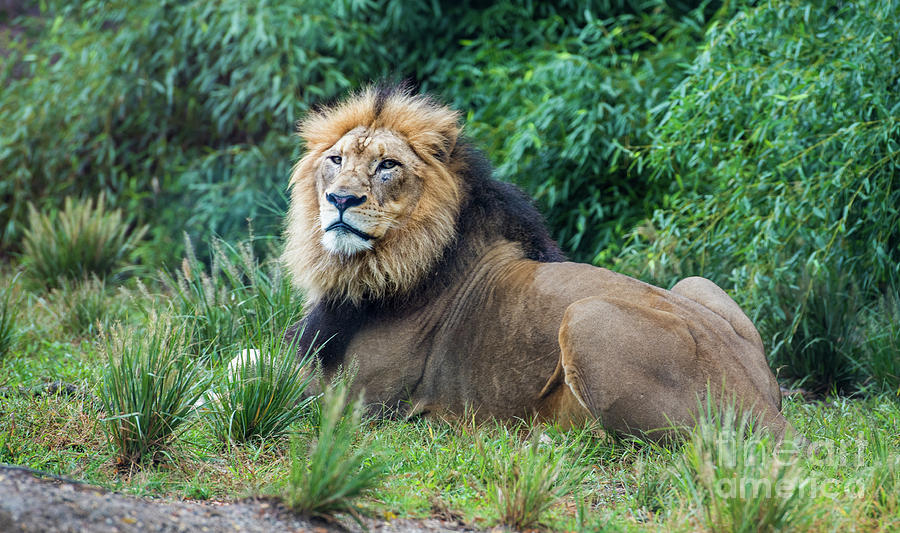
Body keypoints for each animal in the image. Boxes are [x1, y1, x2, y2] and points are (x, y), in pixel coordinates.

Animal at [282, 84, 796, 440]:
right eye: (335, 160)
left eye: (388, 165)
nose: (341, 199)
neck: (371, 266)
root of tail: (762, 405)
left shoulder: (360, 400)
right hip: (696, 284)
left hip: (587, 316)